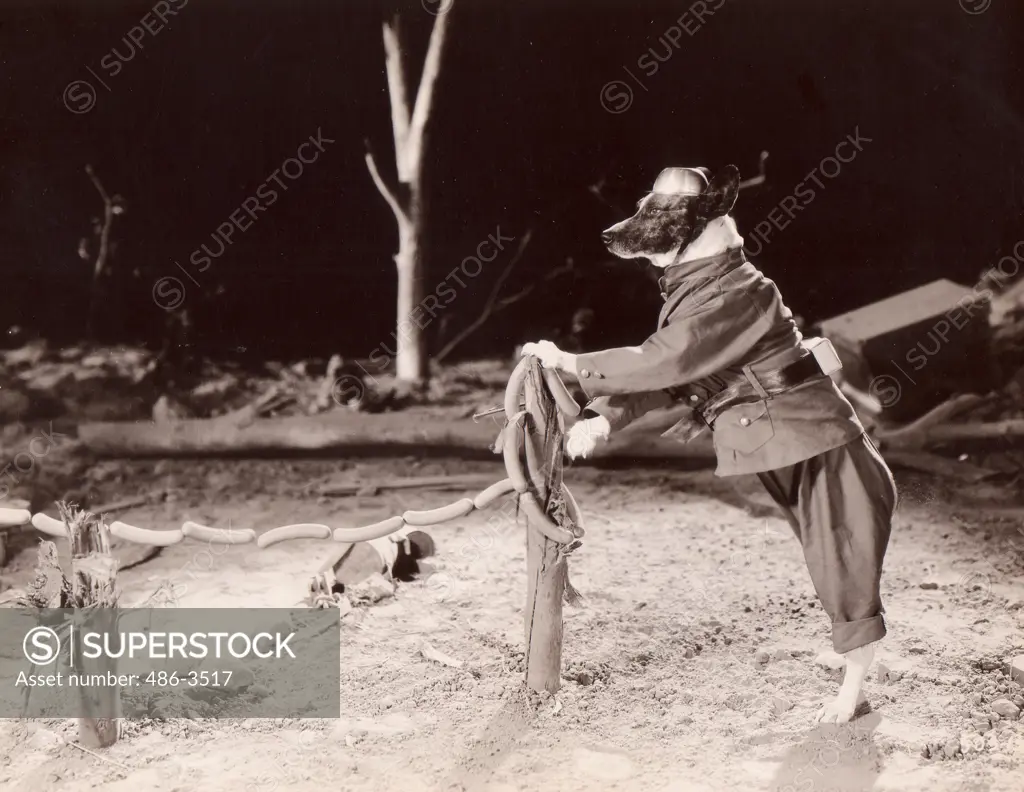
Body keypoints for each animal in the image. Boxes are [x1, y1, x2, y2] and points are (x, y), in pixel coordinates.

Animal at [524, 163, 901, 721]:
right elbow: (633, 391)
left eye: (657, 210)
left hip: (837, 519)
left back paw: (843, 702)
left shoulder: (687, 343)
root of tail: (882, 472)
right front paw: (590, 429)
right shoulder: (682, 379)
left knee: (859, 620)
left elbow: (628, 361)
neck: (706, 268)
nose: (607, 236)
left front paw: (554, 353)